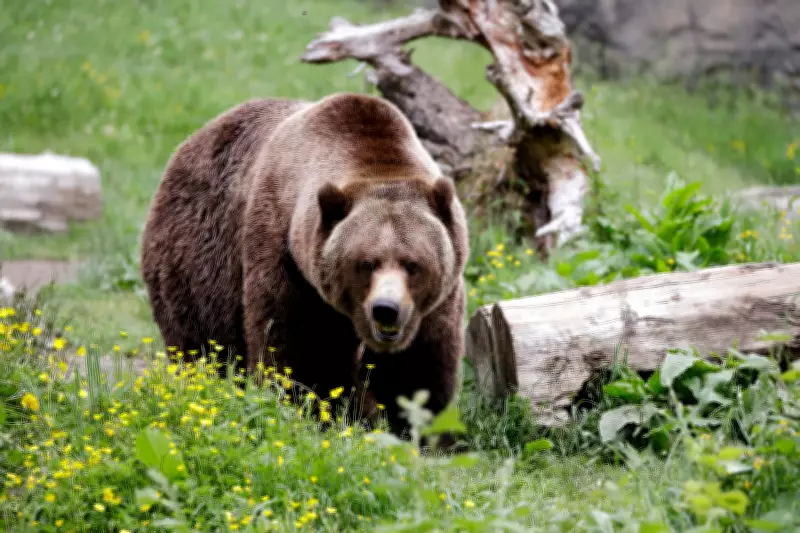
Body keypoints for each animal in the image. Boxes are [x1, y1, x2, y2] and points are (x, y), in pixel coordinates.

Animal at [140, 92, 470, 444]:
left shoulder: (437, 299)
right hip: (194, 262)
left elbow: (418, 367)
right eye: (366, 263)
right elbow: (300, 351)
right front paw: (314, 414)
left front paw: (420, 430)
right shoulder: (286, 258)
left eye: (413, 264)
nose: (386, 309)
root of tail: (190, 142)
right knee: (200, 345)